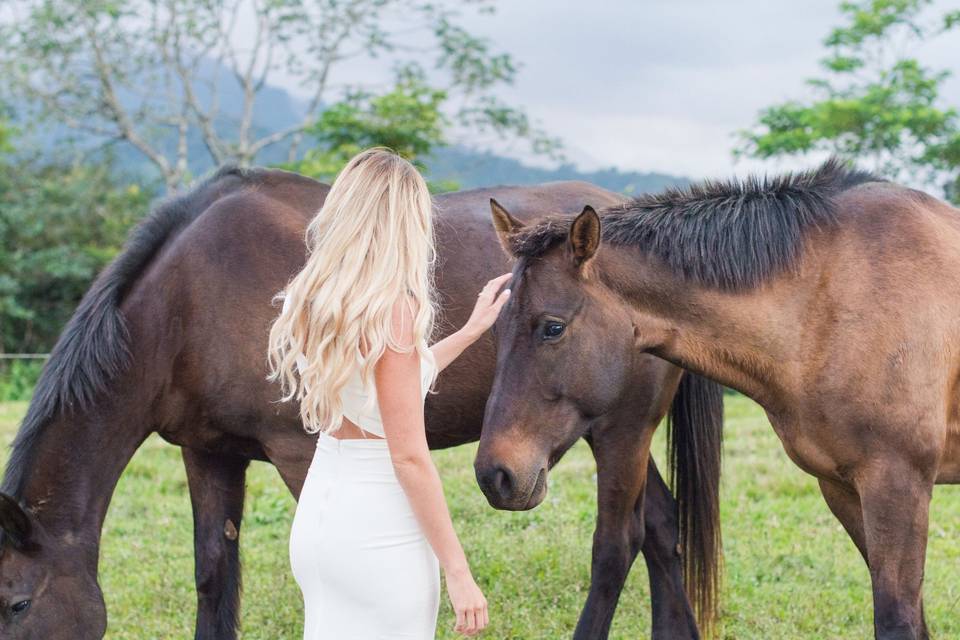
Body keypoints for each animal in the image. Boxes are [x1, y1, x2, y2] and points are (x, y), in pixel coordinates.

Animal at [0, 166, 720, 640]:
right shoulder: (207, 454)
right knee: (660, 526)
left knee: (622, 539)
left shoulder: (301, 452)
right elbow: (213, 571)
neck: (189, 299)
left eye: (17, 604)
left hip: (620, 429)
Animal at [480, 156, 960, 640]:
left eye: (553, 327)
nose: (494, 474)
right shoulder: (841, 487)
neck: (836, 296)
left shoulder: (897, 485)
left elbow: (898, 619)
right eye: (496, 325)